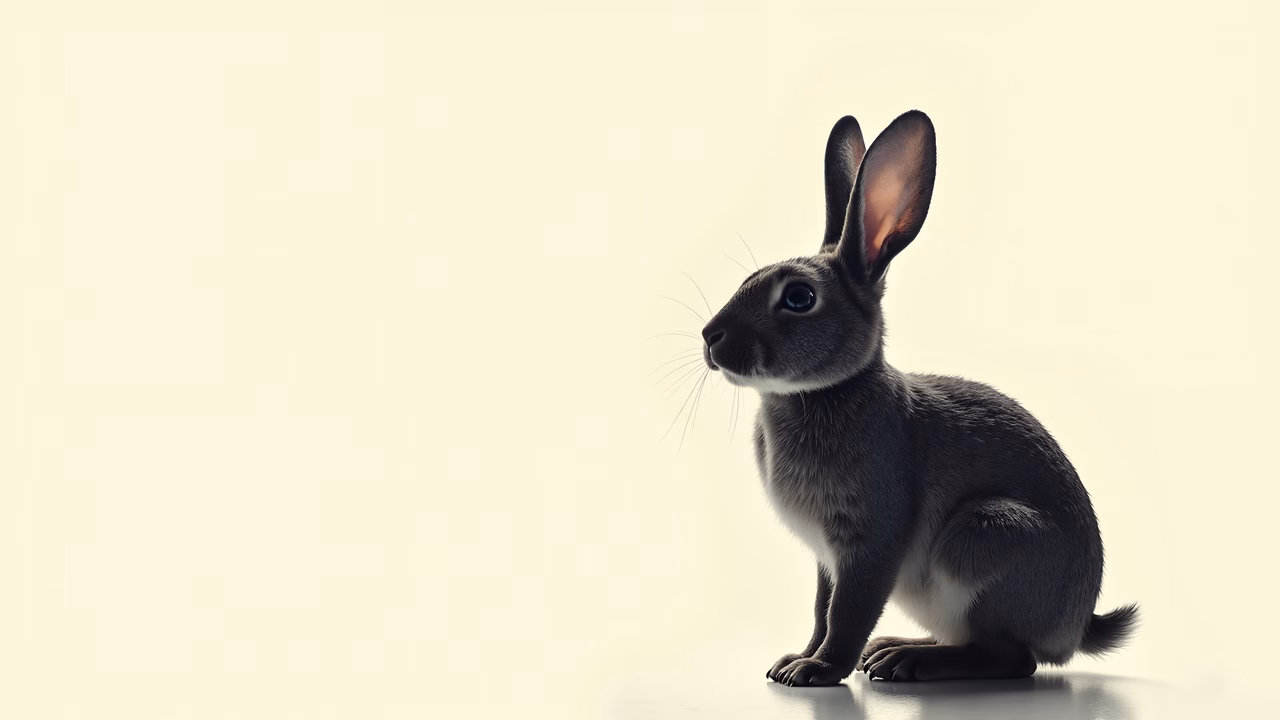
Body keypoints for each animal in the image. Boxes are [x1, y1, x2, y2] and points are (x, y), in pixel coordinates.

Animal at [699, 110, 1138, 686]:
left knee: (1010, 659)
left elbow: (848, 611)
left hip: (986, 537)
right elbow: (821, 609)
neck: (825, 391)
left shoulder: (871, 543)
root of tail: (1075, 627)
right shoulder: (826, 559)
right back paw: (895, 649)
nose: (710, 337)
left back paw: (908, 661)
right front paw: (795, 661)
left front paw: (818, 671)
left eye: (798, 298)